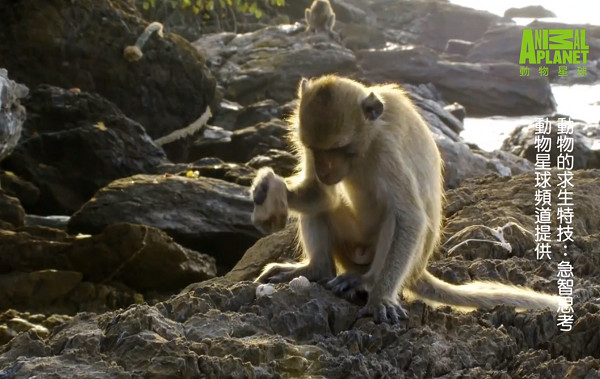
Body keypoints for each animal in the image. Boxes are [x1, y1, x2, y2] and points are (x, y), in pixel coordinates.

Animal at [250, 74, 564, 324]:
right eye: (314, 149)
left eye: (338, 148)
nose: (325, 170)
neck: (368, 140)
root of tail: (417, 271)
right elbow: (320, 195)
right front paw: (268, 188)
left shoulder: (387, 150)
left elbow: (409, 217)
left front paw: (380, 298)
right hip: (348, 249)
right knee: (326, 209)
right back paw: (316, 269)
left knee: (397, 219)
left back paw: (367, 282)